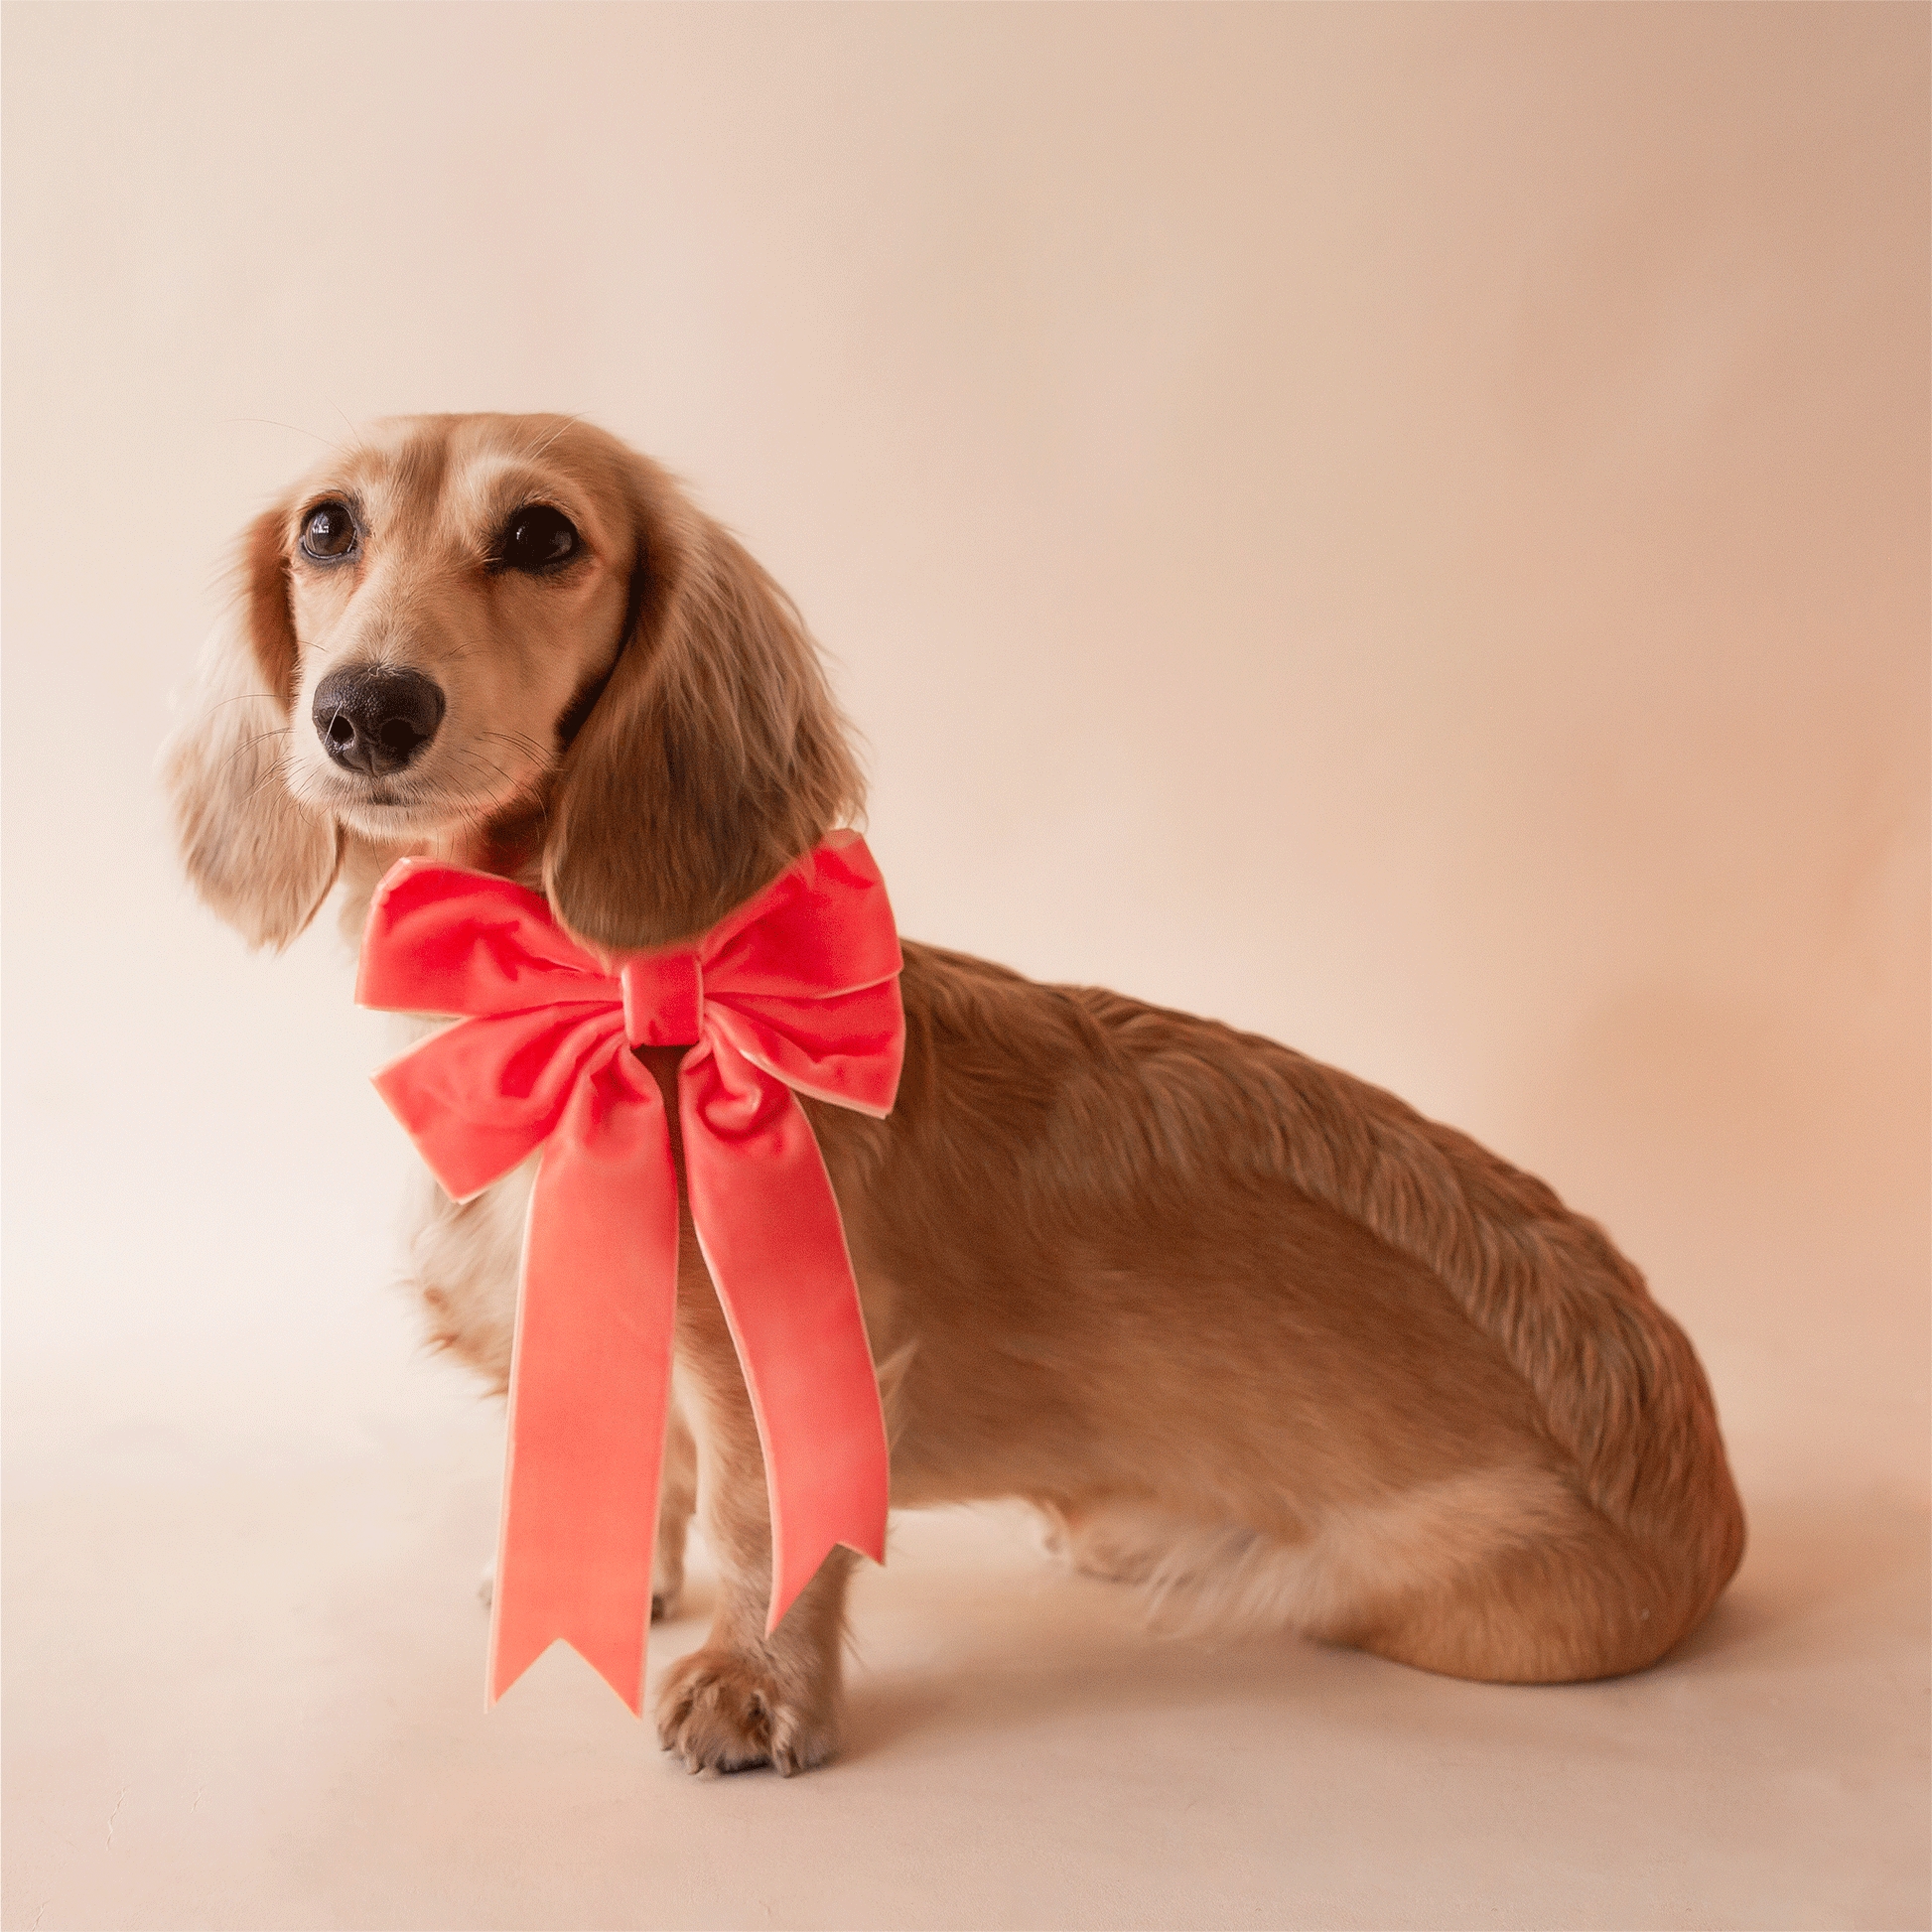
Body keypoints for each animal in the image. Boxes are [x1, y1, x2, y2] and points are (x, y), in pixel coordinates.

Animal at [166, 415, 1746, 1769]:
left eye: (544, 535)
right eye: (326, 527)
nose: (365, 711)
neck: (580, 1004)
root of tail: (1704, 1485)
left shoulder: (773, 1354)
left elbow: (756, 1516)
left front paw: (753, 1687)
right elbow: (655, 1470)